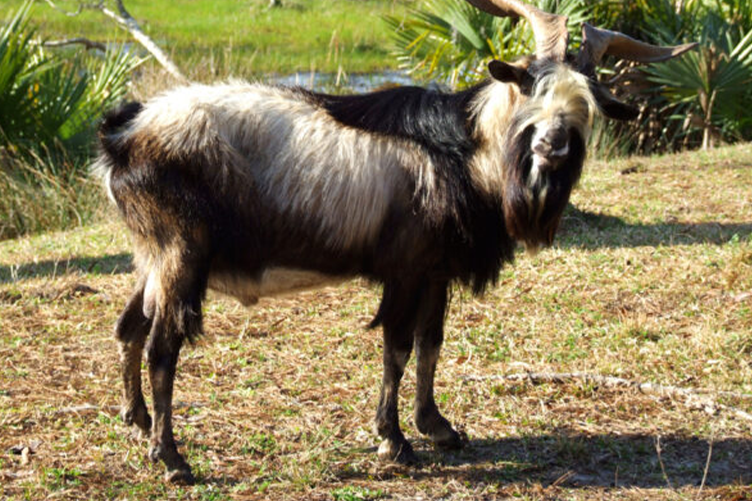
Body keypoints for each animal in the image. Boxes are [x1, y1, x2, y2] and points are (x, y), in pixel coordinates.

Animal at [95, 0, 695, 484]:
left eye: (586, 104)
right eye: (529, 86)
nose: (551, 145)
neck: (466, 150)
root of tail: (125, 132)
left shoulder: (435, 270)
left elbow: (432, 343)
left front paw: (439, 427)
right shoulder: (406, 269)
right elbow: (398, 346)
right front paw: (395, 440)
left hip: (153, 258)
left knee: (129, 327)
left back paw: (137, 422)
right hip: (182, 255)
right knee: (162, 347)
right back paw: (172, 459)